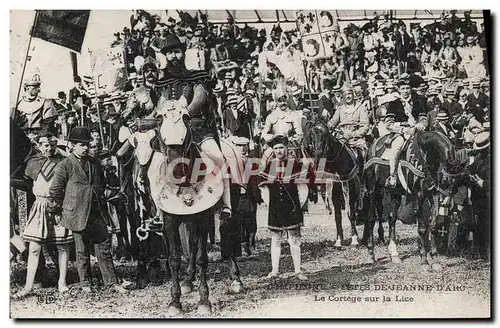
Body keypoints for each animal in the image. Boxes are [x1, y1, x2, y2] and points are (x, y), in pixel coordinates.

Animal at [302, 118, 362, 246]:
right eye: (311, 136)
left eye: (325, 136)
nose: (318, 154)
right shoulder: (334, 191)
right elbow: (337, 216)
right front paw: (338, 240)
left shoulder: (348, 188)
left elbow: (350, 213)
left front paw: (354, 239)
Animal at [364, 131, 460, 270]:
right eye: (445, 180)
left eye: (456, 182)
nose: (446, 202)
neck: (425, 155)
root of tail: (371, 147)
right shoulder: (419, 195)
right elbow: (422, 228)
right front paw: (424, 260)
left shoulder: (432, 194)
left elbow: (433, 226)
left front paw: (435, 260)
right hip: (373, 189)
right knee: (371, 218)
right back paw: (371, 255)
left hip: (395, 193)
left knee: (392, 218)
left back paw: (394, 255)